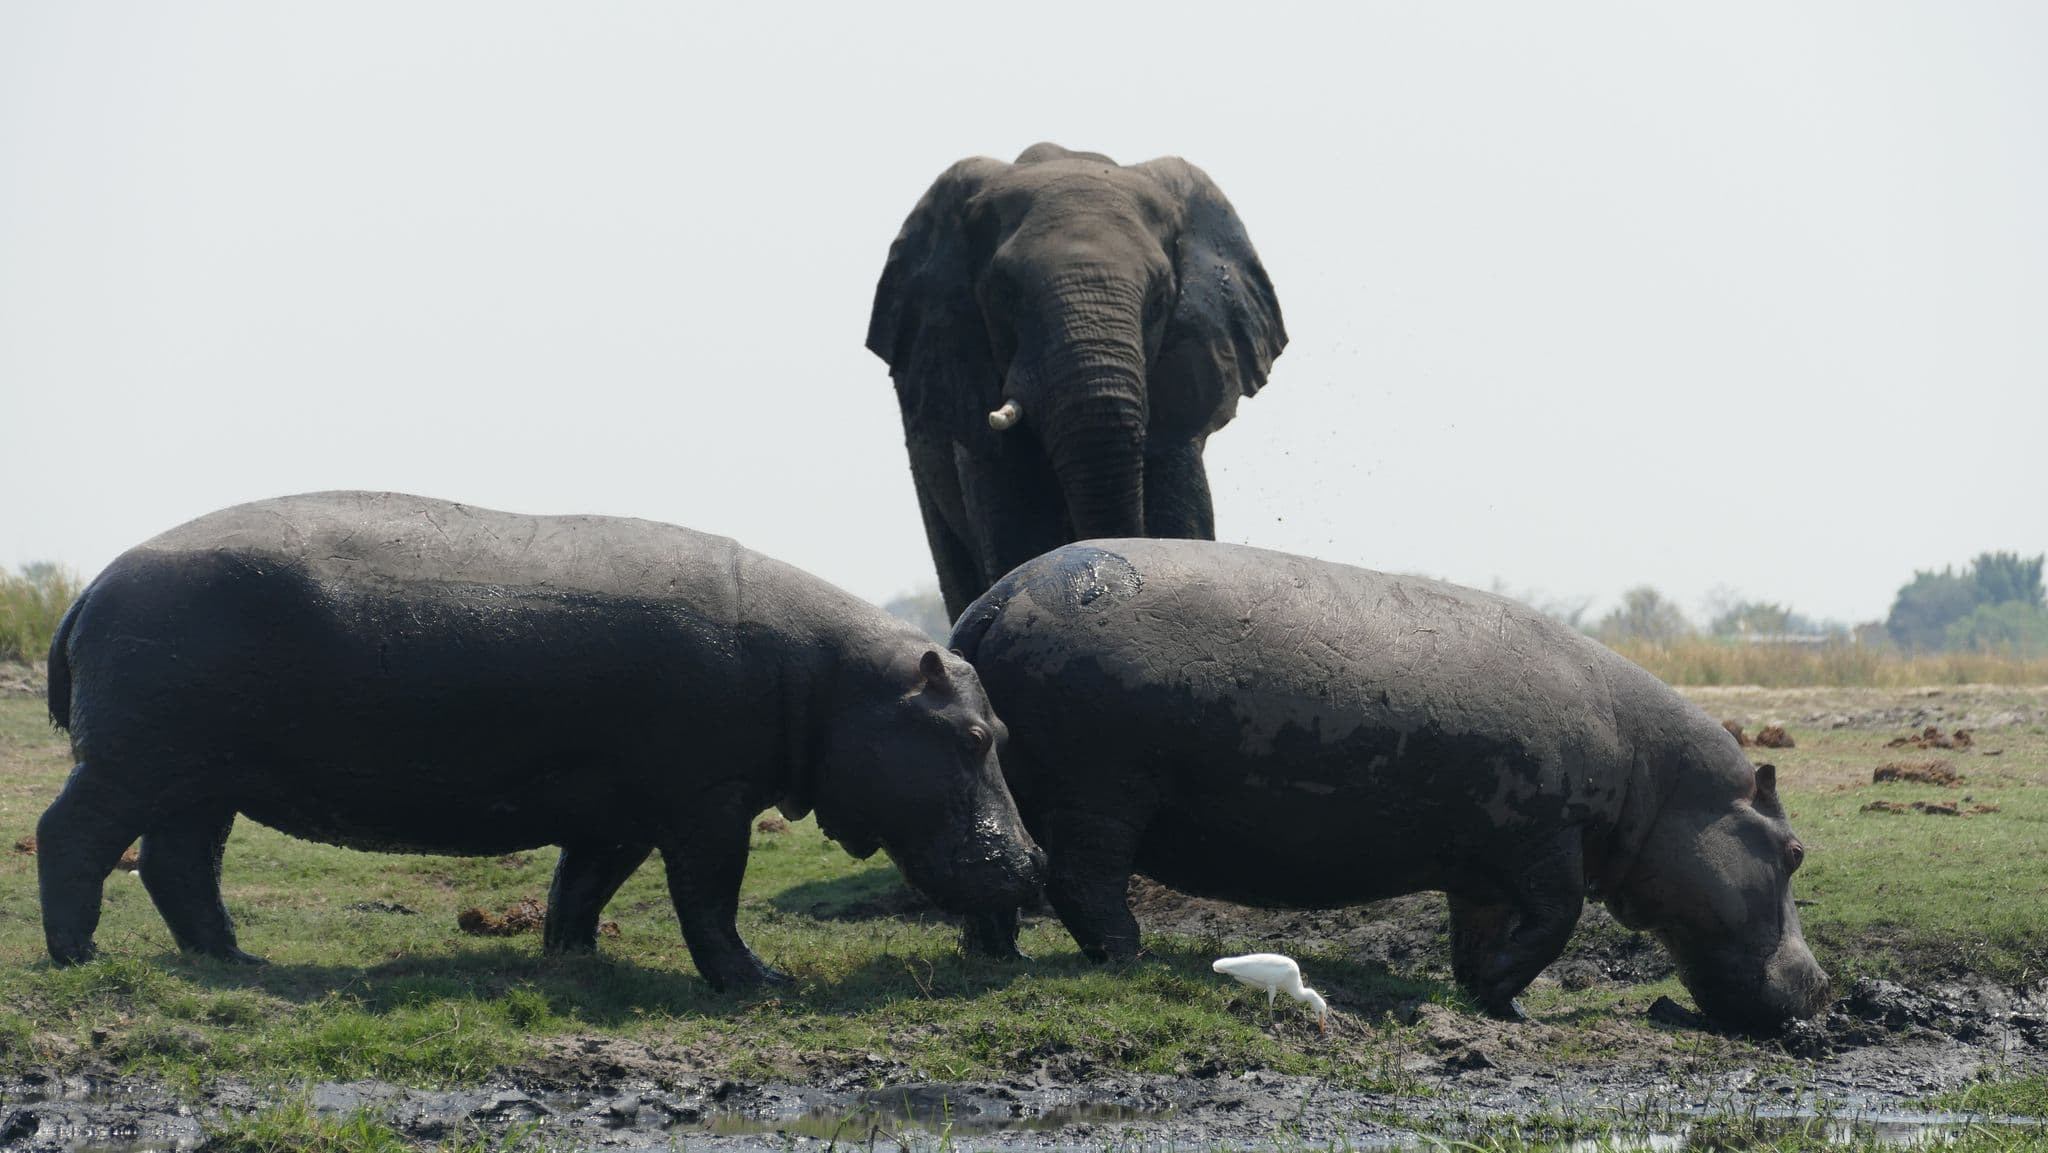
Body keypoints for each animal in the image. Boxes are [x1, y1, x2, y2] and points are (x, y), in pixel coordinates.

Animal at [39, 491, 1045, 989]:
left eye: (1000, 726)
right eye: (966, 736)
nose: (1036, 864)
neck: (836, 680)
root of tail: (88, 590)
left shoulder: (621, 810)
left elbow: (582, 884)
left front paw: (572, 960)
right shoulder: (708, 802)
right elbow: (710, 899)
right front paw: (762, 981)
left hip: (202, 777)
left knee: (179, 864)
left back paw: (237, 960)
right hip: (135, 761)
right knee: (74, 836)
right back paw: (79, 957)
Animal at [952, 540, 1830, 1032]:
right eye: (1794, 851)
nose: (1823, 986)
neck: (1665, 785)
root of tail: (991, 603)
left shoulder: (1482, 869)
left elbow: (1480, 933)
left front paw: (1492, 998)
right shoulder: (1548, 839)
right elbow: (1556, 921)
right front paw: (1507, 995)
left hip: (1015, 790)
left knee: (995, 873)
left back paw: (1000, 954)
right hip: (1104, 793)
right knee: (1081, 879)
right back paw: (1127, 953)